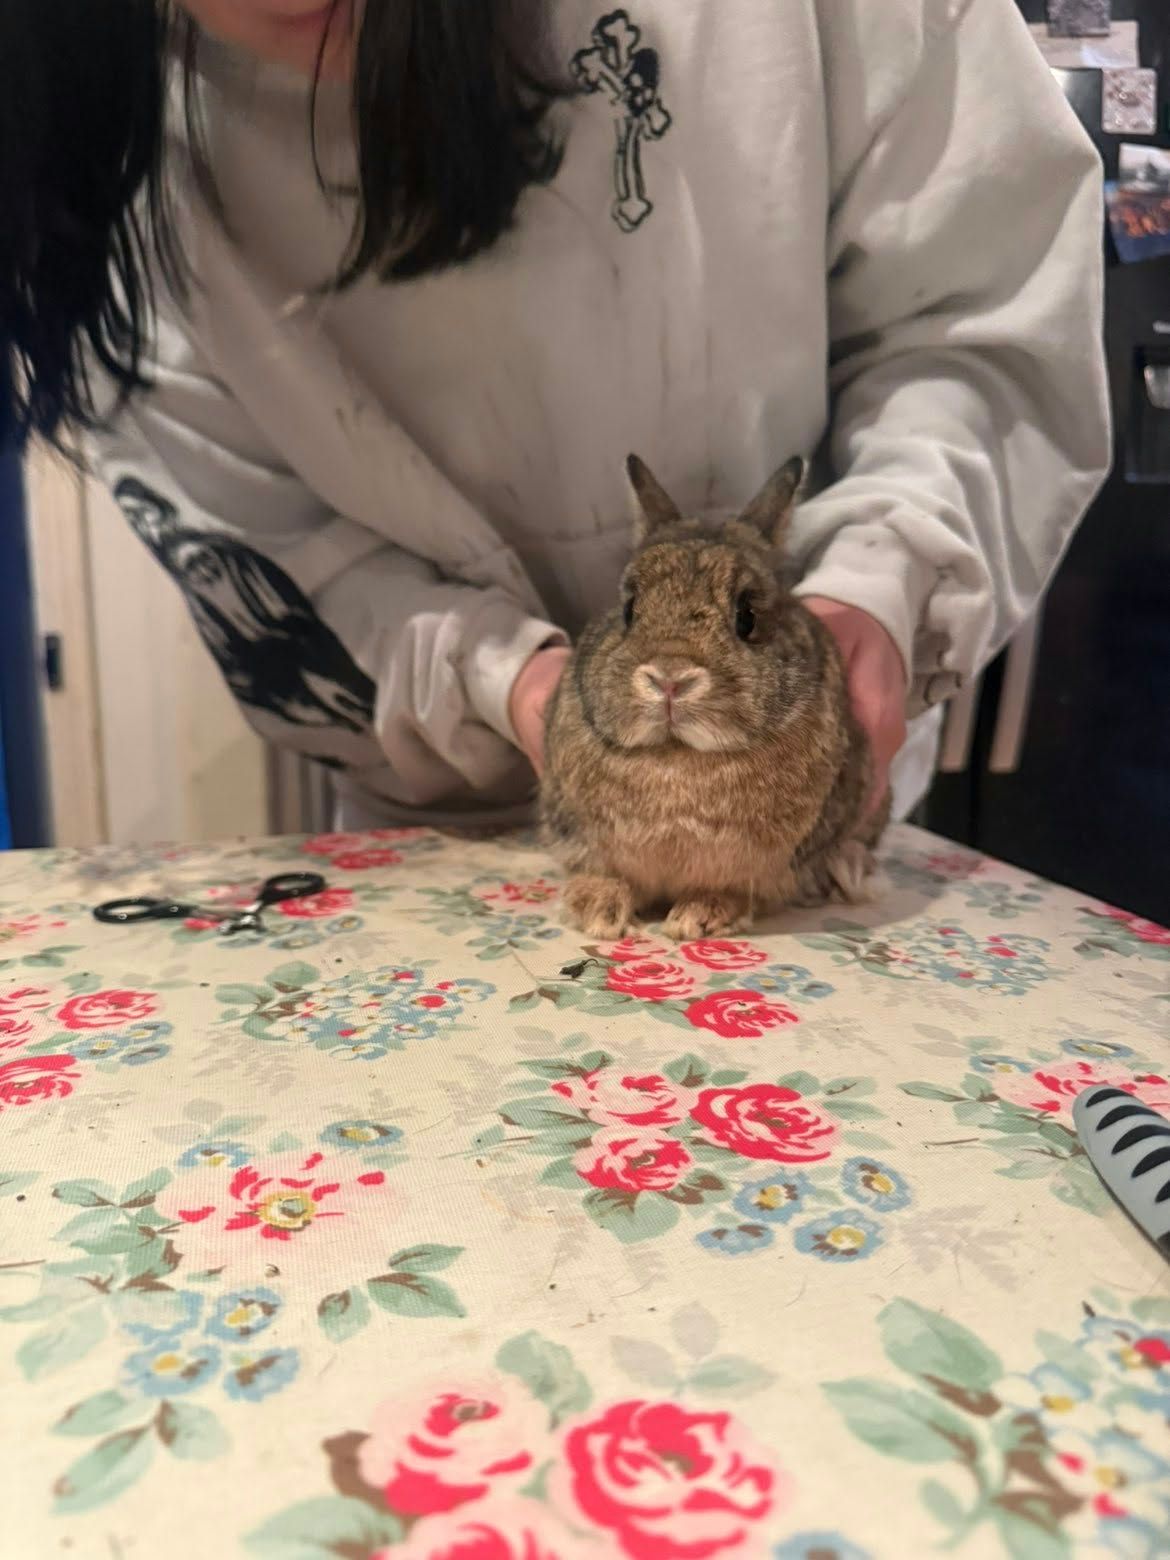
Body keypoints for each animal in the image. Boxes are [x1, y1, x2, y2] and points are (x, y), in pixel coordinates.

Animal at [540, 453, 889, 941]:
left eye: (747, 616)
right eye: (628, 609)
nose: (670, 679)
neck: (677, 755)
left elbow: (736, 891)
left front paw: (697, 916)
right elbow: (607, 874)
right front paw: (597, 910)